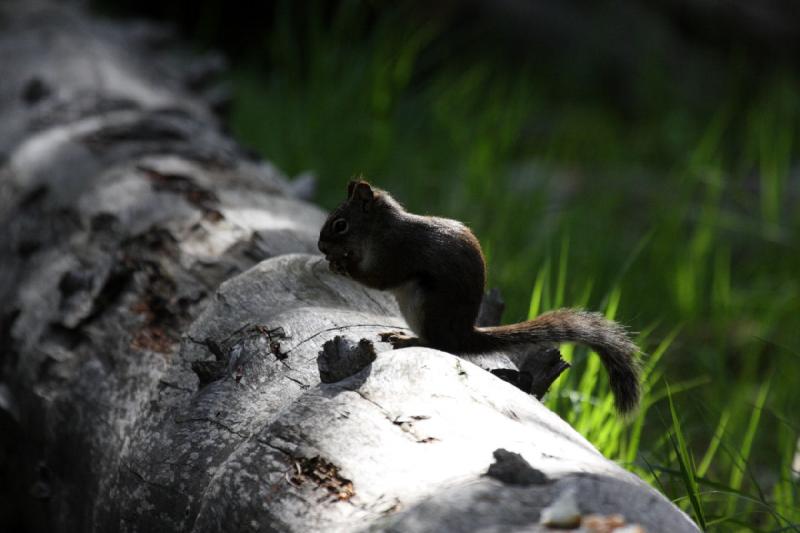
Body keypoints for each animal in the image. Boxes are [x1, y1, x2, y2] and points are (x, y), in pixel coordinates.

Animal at [316, 179, 640, 412]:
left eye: (340, 224)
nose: (321, 247)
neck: (379, 230)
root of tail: (464, 334)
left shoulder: (396, 253)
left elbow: (379, 279)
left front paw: (342, 265)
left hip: (426, 306)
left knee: (442, 345)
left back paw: (410, 339)